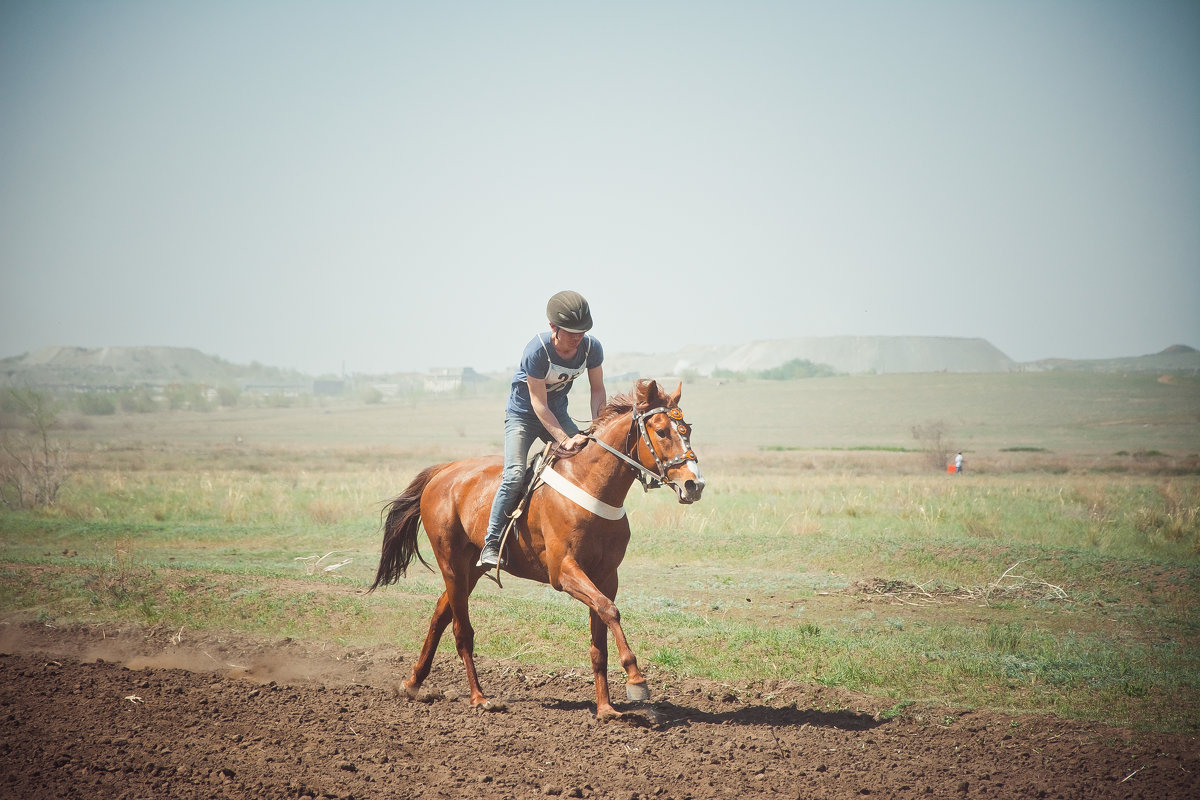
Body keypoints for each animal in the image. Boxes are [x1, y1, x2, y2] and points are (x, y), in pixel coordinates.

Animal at [367, 379, 700, 724]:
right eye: (661, 431)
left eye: (687, 428)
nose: (693, 484)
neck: (591, 486)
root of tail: (443, 472)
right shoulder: (564, 571)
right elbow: (610, 611)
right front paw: (636, 680)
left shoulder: (606, 576)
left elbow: (601, 634)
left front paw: (606, 707)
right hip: (451, 564)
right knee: (461, 629)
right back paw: (479, 697)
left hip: (470, 569)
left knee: (440, 614)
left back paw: (413, 683)